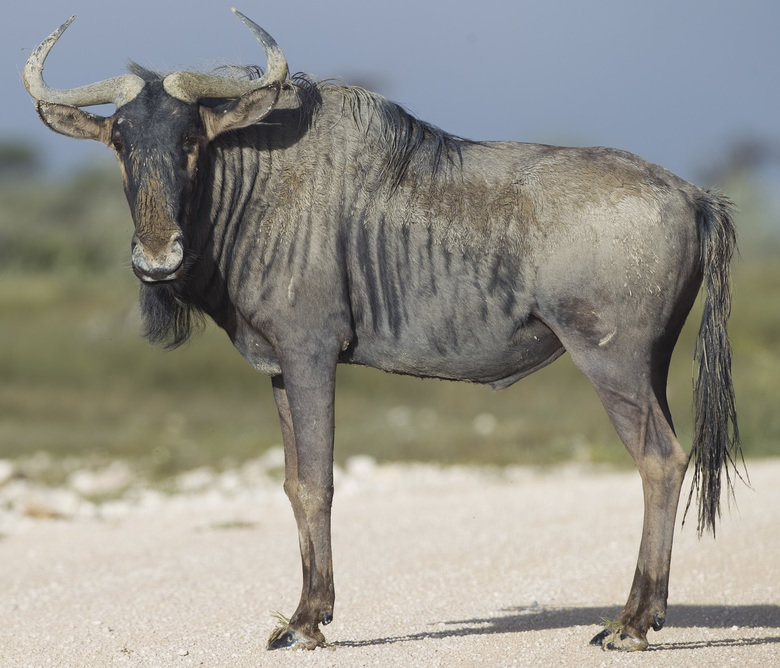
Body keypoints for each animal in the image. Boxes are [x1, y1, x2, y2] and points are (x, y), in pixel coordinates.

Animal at [24, 9, 741, 652]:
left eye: (191, 140)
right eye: (120, 140)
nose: (157, 259)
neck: (253, 186)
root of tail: (692, 196)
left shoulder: (311, 353)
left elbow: (318, 480)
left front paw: (307, 622)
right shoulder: (280, 368)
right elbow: (293, 483)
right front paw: (303, 612)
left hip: (612, 365)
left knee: (660, 460)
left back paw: (631, 625)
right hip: (652, 366)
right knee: (665, 459)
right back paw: (643, 614)